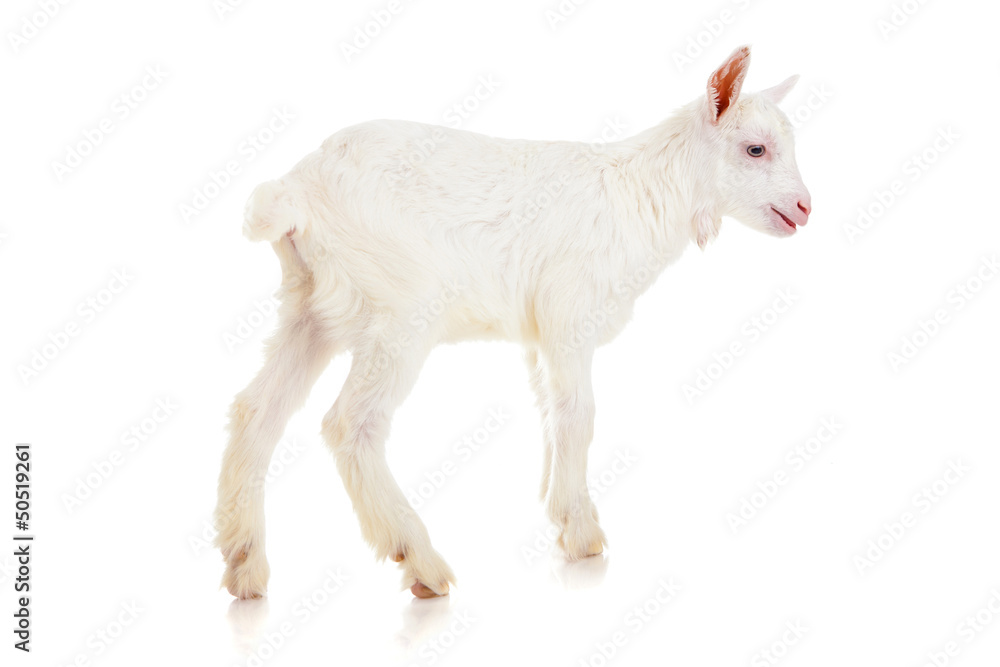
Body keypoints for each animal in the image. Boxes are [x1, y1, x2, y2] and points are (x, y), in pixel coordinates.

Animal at [215, 45, 812, 599]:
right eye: (755, 148)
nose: (805, 208)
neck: (644, 189)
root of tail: (295, 189)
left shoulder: (538, 335)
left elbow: (551, 413)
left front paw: (560, 515)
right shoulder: (569, 311)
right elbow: (579, 414)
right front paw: (583, 534)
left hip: (309, 305)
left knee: (257, 410)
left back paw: (244, 565)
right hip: (399, 307)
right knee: (349, 424)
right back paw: (420, 561)